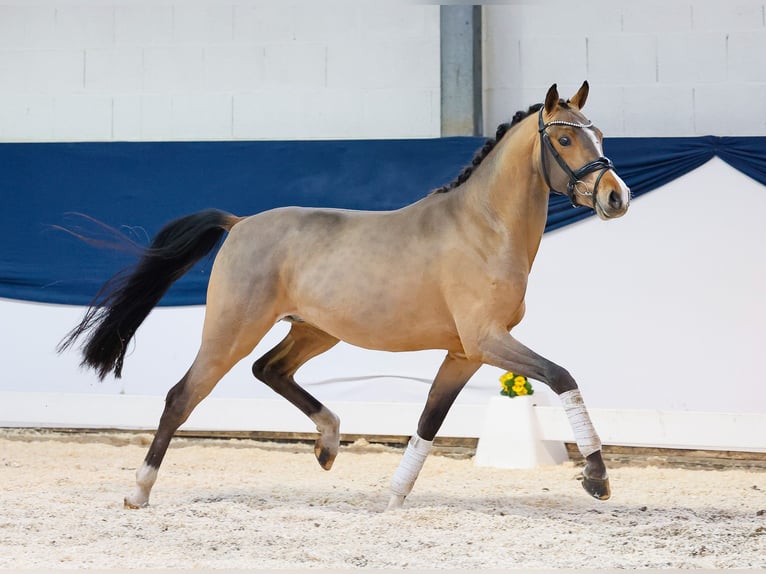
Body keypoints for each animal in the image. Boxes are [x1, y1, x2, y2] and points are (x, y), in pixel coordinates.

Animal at [60, 80, 632, 508]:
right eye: (564, 141)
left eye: (600, 134)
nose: (616, 197)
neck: (484, 227)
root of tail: (239, 224)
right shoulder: (487, 340)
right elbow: (562, 377)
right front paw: (597, 479)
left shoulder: (464, 352)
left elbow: (429, 420)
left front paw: (394, 498)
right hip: (232, 330)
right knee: (183, 396)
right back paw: (139, 492)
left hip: (315, 332)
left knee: (270, 370)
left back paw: (328, 443)